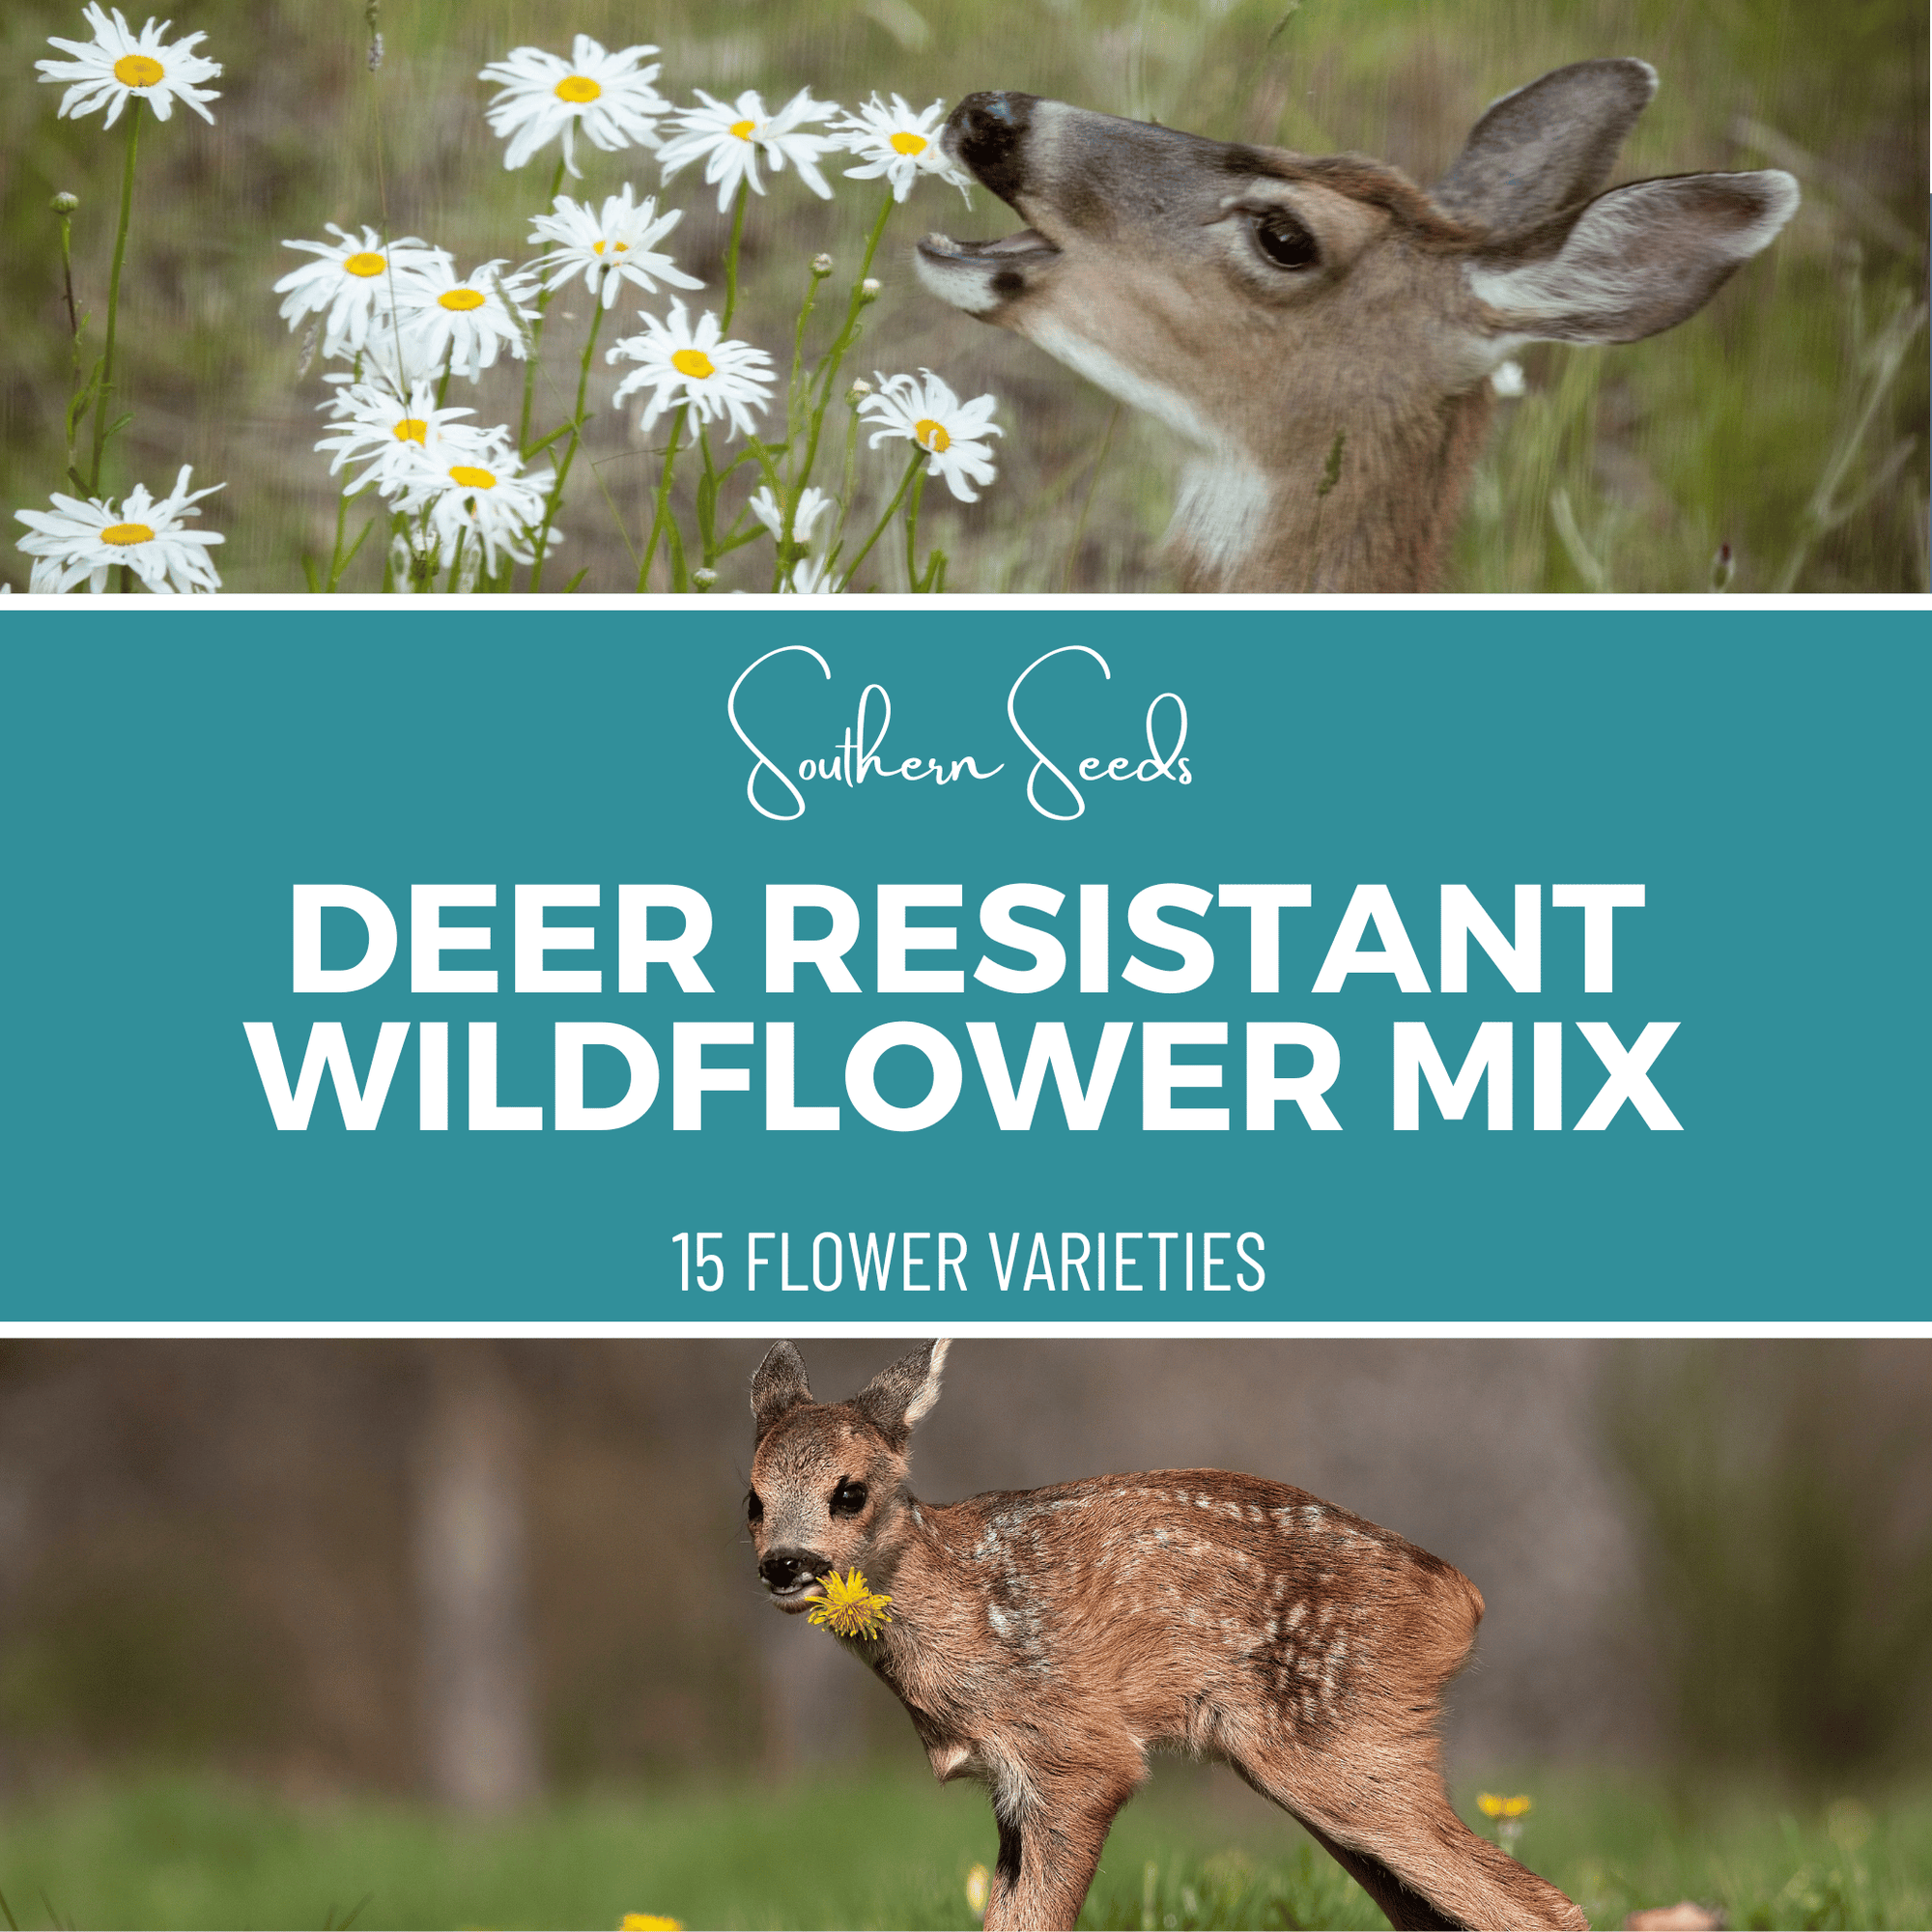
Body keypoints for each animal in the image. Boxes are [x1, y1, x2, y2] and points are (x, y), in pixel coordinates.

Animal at [746, 1339, 1586, 1932]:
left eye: (849, 1492)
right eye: (753, 1499)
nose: (783, 1564)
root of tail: (1460, 1599)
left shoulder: (1077, 1753)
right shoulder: (1013, 1785)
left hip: (1347, 1744)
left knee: (1544, 1908)